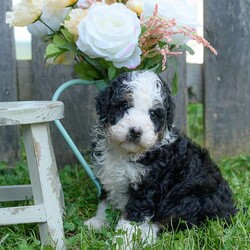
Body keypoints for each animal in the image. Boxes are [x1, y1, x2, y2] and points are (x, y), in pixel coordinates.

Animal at [85, 70, 237, 248]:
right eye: (124, 106)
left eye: (153, 114)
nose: (135, 131)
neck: (126, 153)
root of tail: (230, 209)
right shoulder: (107, 175)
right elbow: (105, 202)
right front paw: (98, 222)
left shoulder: (148, 188)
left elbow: (132, 219)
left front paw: (121, 243)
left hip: (191, 198)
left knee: (173, 222)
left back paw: (146, 236)